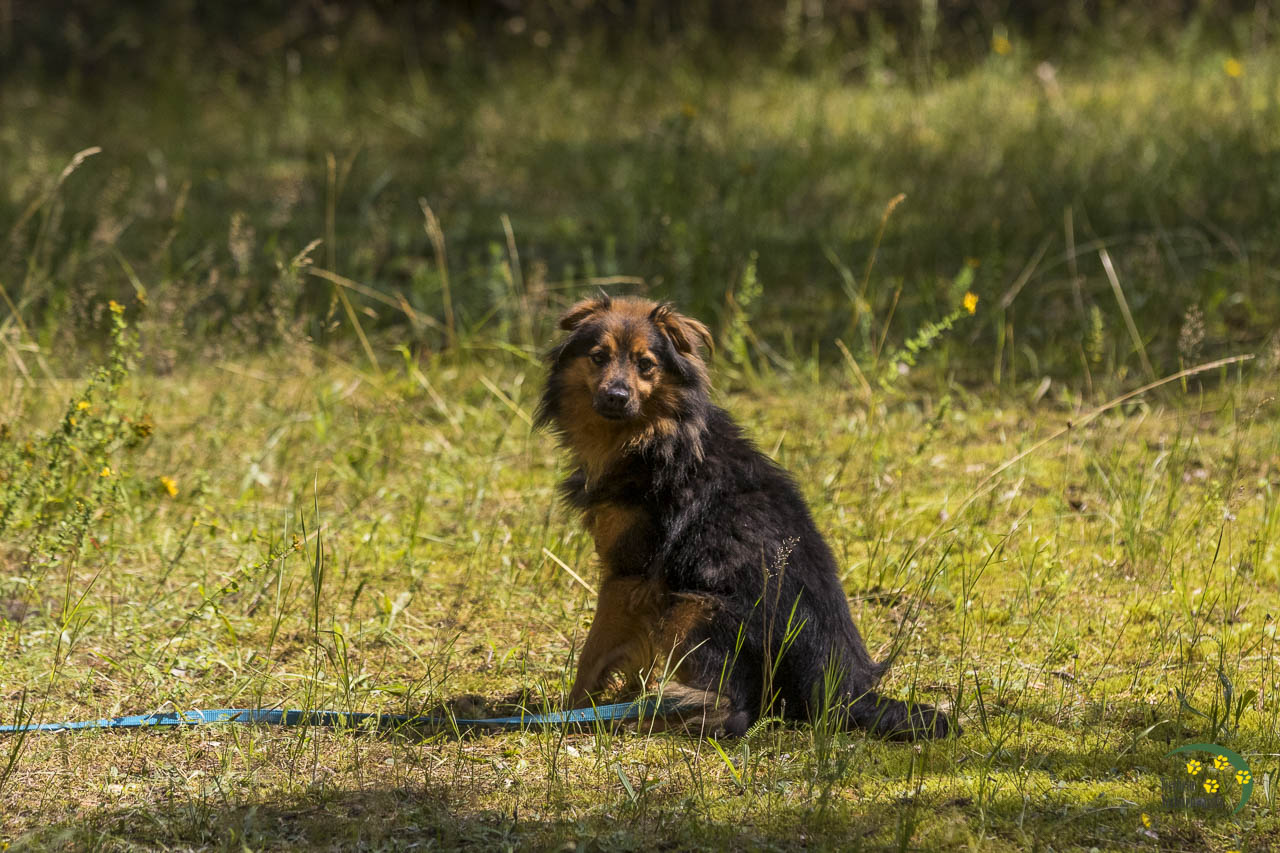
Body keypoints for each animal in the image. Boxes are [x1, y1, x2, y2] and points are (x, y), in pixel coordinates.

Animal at [536, 294, 952, 739]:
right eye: (598, 357)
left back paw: (646, 717)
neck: (651, 436)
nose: (615, 395)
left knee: (731, 709)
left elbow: (593, 655)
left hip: (693, 607)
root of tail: (845, 690)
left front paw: (567, 713)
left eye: (645, 364)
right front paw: (621, 694)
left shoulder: (627, 574)